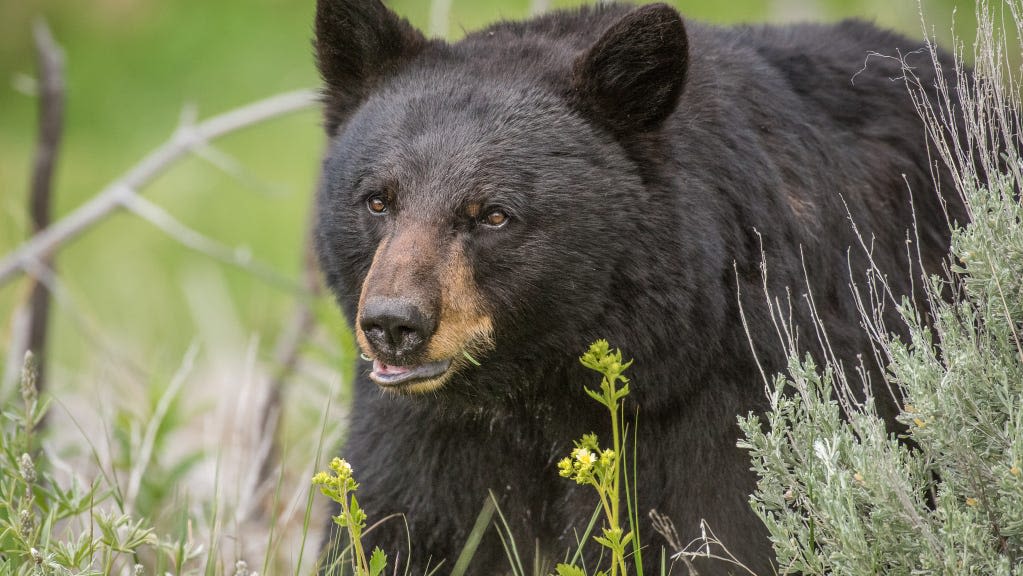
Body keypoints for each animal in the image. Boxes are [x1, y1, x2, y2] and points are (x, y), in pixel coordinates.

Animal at [308, 2, 957, 572]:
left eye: (493, 215)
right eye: (377, 200)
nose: (394, 324)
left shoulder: (737, 391)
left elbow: (729, 530)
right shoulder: (424, 438)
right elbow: (398, 529)